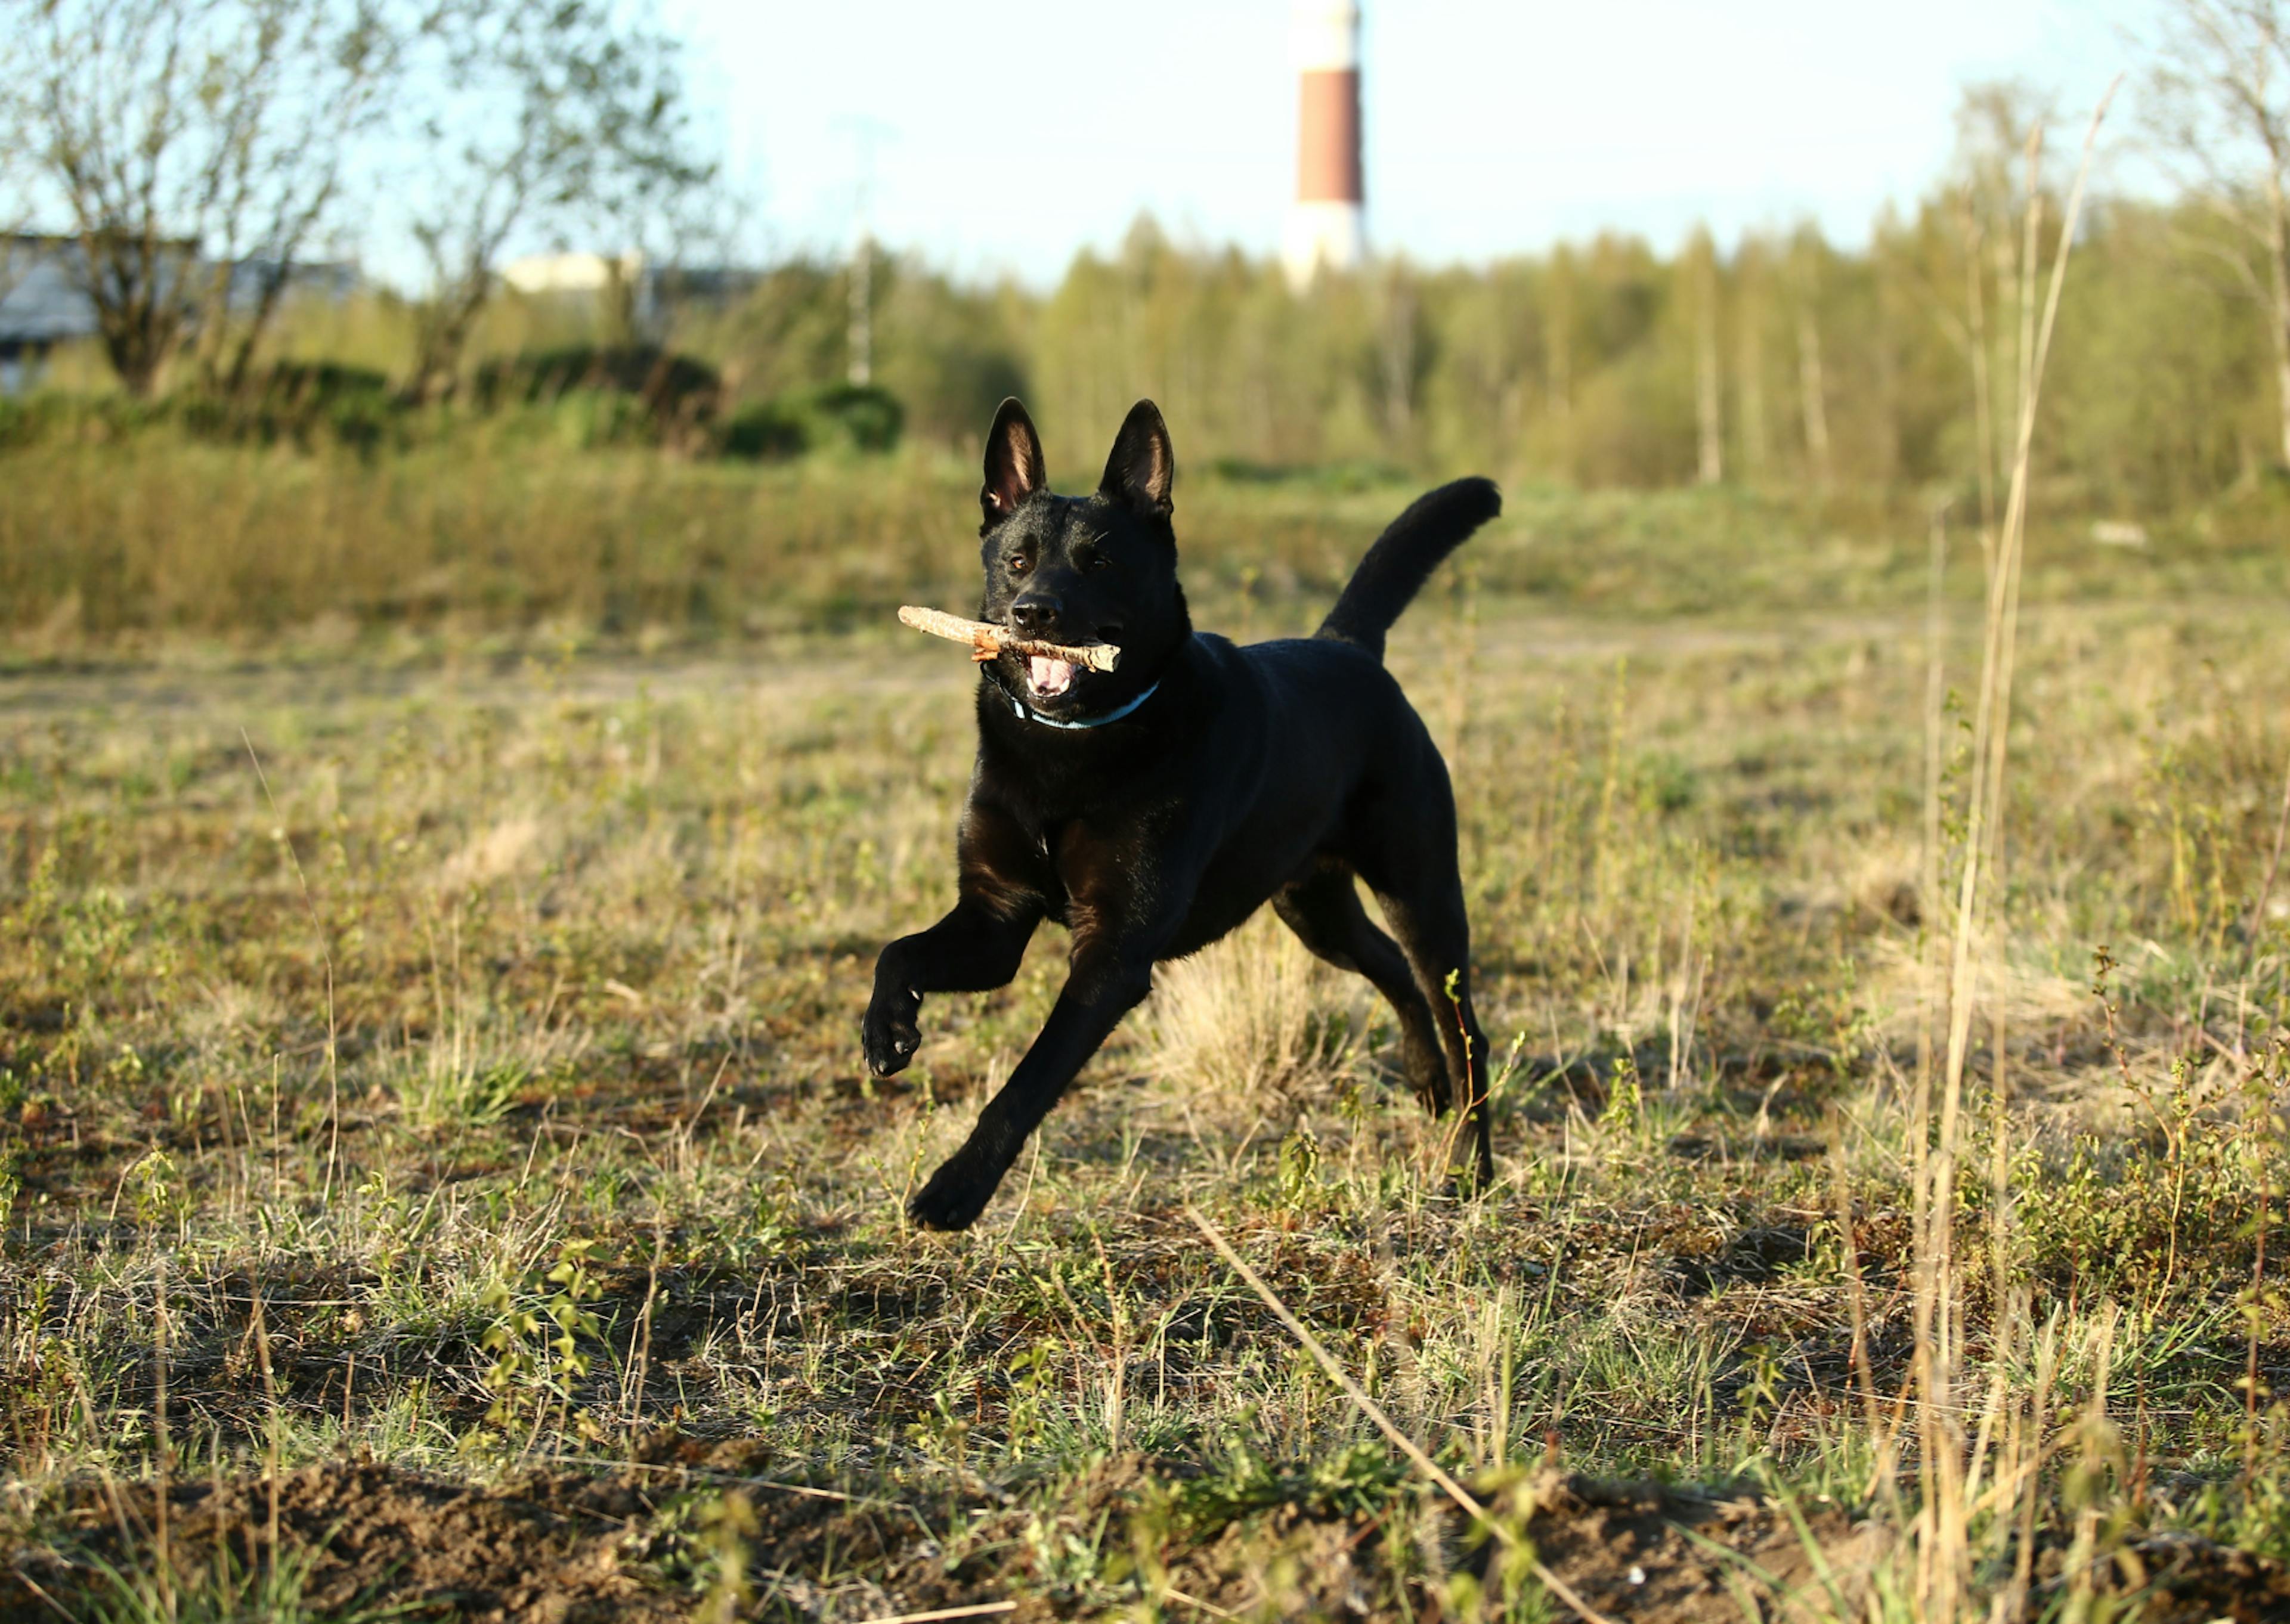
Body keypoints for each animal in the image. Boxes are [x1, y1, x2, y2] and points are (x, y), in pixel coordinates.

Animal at [861, 398, 1502, 1218]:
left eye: (1100, 562)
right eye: (1017, 561)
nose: (1034, 614)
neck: (1072, 748)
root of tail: (1351, 647)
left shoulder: (1112, 956)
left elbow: (1028, 1082)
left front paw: (956, 1189)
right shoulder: (995, 917)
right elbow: (897, 951)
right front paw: (887, 1029)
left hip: (1421, 894)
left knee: (1464, 1028)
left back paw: (1468, 1169)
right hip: (1311, 905)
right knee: (1390, 969)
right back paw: (1425, 1082)